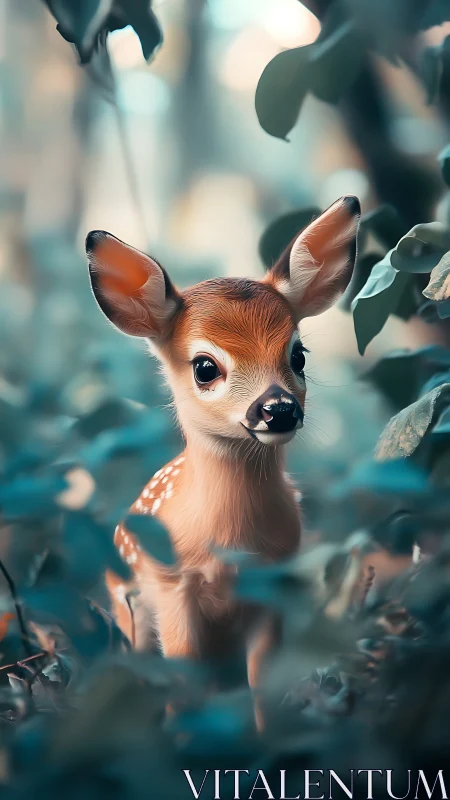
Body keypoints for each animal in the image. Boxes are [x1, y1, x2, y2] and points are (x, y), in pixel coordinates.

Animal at [85, 195, 361, 724]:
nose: (278, 409)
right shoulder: (172, 586)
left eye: (298, 355)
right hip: (127, 607)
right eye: (205, 367)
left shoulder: (272, 582)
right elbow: (182, 685)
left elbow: (262, 685)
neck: (229, 542)